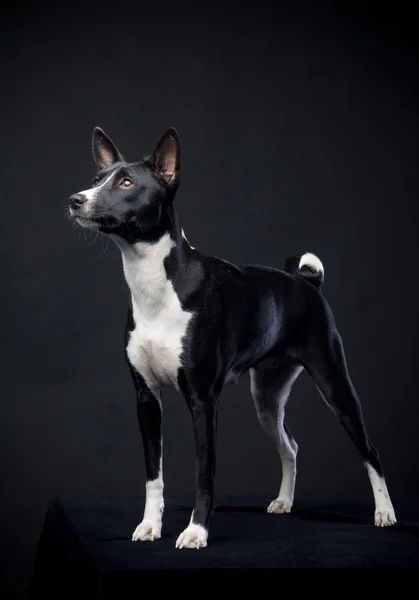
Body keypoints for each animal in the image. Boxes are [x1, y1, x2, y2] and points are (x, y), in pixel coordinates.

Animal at [69, 126, 398, 548]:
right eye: (97, 180)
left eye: (126, 182)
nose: (76, 200)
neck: (156, 286)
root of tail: (308, 284)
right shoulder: (146, 398)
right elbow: (153, 476)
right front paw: (150, 526)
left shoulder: (203, 401)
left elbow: (203, 472)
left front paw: (196, 531)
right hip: (268, 398)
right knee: (290, 445)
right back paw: (284, 501)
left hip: (335, 385)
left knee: (370, 450)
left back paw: (384, 511)